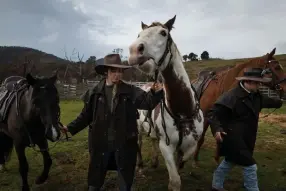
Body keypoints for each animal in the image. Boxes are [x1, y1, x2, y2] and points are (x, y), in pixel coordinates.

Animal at [128, 15, 204, 191]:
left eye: (163, 33)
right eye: (139, 34)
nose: (134, 50)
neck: (182, 111)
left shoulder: (190, 146)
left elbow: (180, 165)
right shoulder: (166, 146)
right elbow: (175, 180)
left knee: (152, 139)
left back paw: (155, 162)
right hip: (138, 128)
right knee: (139, 144)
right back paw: (140, 166)